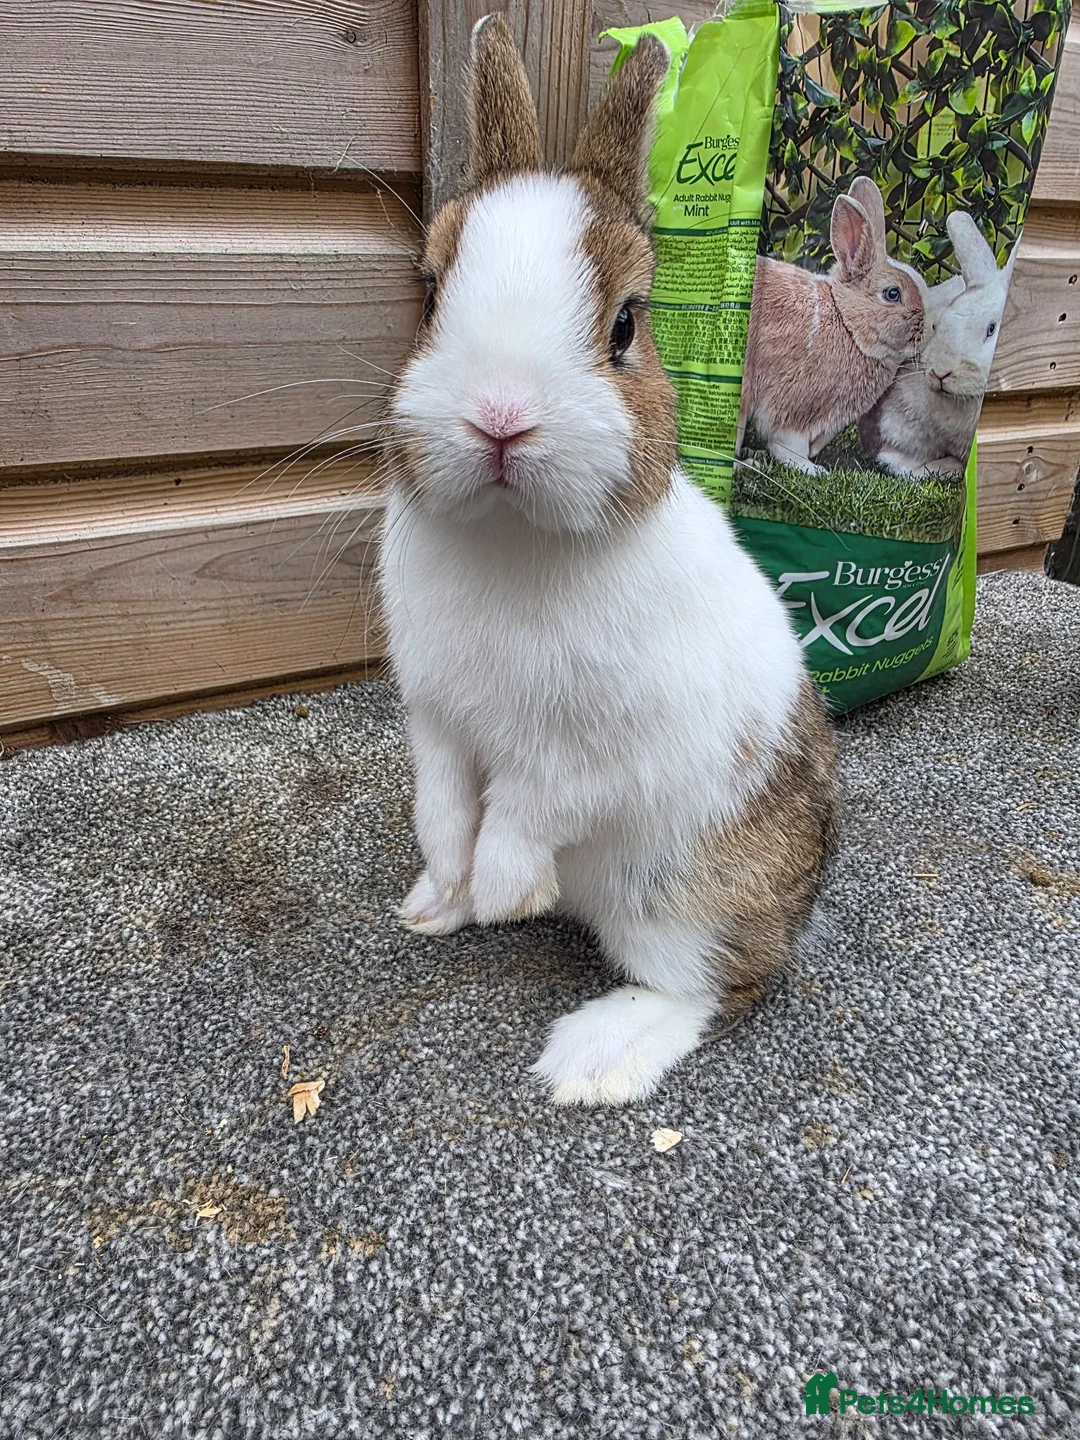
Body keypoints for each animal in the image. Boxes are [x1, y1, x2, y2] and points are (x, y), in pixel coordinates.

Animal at [377, 15, 838, 1107]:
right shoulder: (438, 719)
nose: (501, 417)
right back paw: (441, 907)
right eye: (430, 295)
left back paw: (592, 1060)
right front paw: (450, 886)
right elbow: (445, 806)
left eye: (626, 324)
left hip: (689, 896)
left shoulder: (594, 749)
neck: (515, 537)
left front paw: (507, 891)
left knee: (714, 988)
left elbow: (531, 807)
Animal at [737, 175, 927, 475]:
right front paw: (812, 470)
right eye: (892, 294)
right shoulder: (796, 404)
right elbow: (786, 443)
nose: (930, 328)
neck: (846, 324)